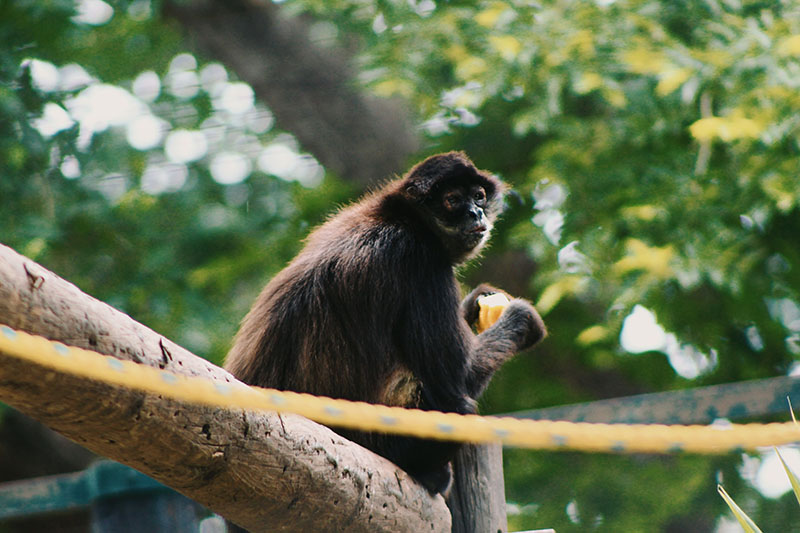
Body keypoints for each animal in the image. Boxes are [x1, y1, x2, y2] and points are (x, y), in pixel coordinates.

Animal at [228, 152, 548, 492]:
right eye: (452, 200)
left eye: (478, 196)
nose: (475, 213)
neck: (401, 218)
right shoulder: (423, 262)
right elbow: (455, 383)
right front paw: (521, 319)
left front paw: (477, 301)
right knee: (459, 406)